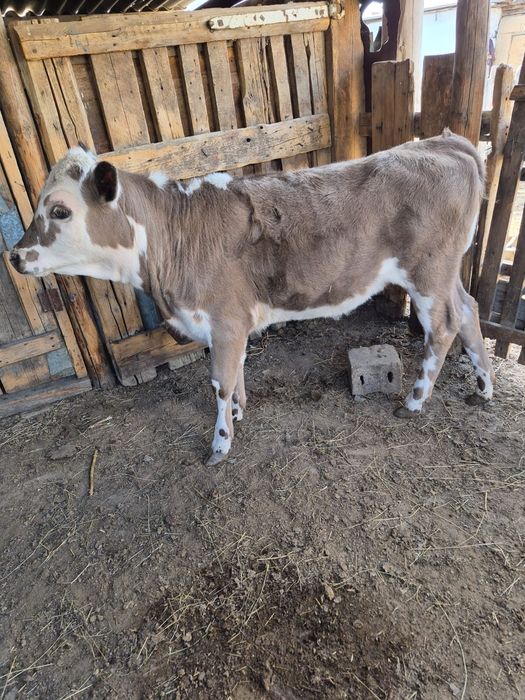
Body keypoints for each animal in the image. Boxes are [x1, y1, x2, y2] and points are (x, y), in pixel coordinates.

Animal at [9, 131, 494, 465]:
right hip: (445, 272)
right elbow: (236, 373)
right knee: (469, 310)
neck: (175, 235)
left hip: (428, 272)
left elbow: (219, 382)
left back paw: (415, 400)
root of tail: (443, 143)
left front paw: (220, 445)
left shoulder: (224, 318)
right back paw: (483, 388)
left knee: (444, 326)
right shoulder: (230, 323)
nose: (13, 255)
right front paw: (239, 413)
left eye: (59, 210)